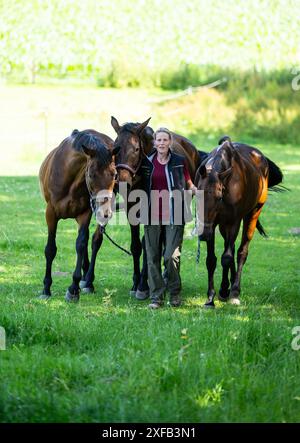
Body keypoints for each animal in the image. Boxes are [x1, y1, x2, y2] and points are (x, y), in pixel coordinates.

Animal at [38, 128, 119, 302]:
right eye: (91, 174)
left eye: (114, 174)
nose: (105, 213)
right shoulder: (51, 213)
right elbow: (50, 249)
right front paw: (46, 288)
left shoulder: (85, 213)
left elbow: (81, 244)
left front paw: (73, 288)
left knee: (95, 241)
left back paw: (88, 281)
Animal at [110, 117, 209, 298]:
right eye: (115, 148)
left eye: (136, 148)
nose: (122, 182)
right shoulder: (132, 211)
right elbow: (137, 246)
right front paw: (136, 282)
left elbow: (149, 245)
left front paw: (143, 285)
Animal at [195, 136, 284, 308]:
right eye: (197, 195)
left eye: (218, 197)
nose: (202, 234)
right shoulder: (213, 225)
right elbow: (211, 260)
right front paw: (211, 298)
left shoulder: (233, 223)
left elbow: (227, 258)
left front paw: (227, 292)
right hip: (223, 226)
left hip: (253, 214)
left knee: (241, 251)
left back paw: (234, 290)